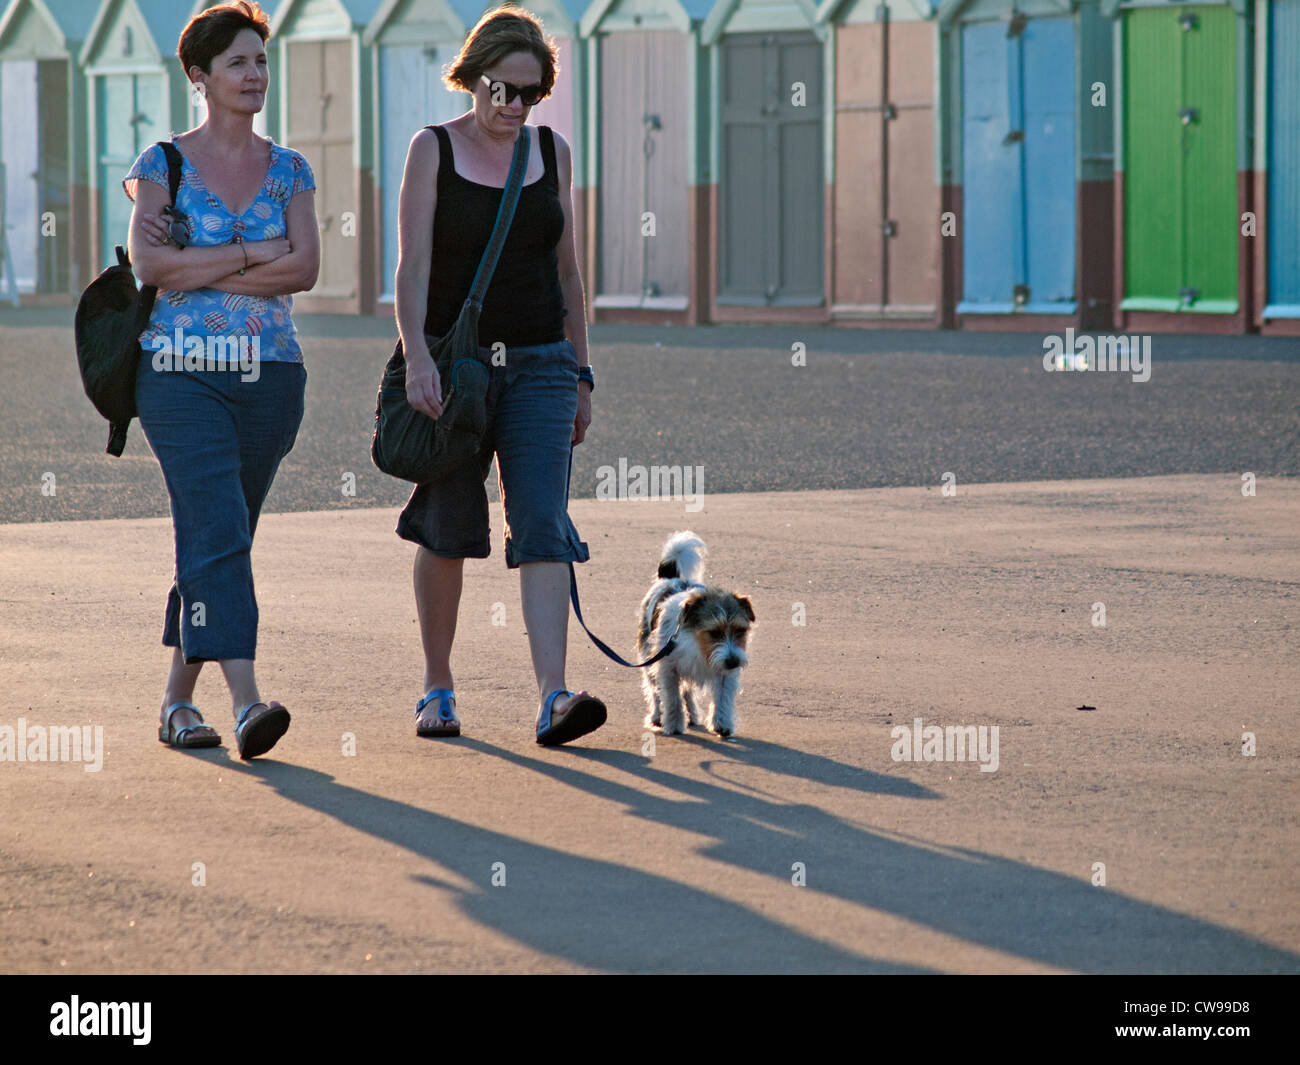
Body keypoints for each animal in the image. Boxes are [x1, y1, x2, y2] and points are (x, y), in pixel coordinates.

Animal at [637, 533, 759, 743]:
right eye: (714, 632)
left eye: (740, 631)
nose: (734, 661)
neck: (696, 642)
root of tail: (670, 578)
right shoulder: (667, 667)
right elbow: (672, 697)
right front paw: (674, 724)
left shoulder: (725, 671)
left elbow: (723, 697)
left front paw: (722, 723)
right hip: (648, 657)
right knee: (655, 691)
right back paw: (657, 716)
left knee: (687, 692)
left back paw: (693, 715)